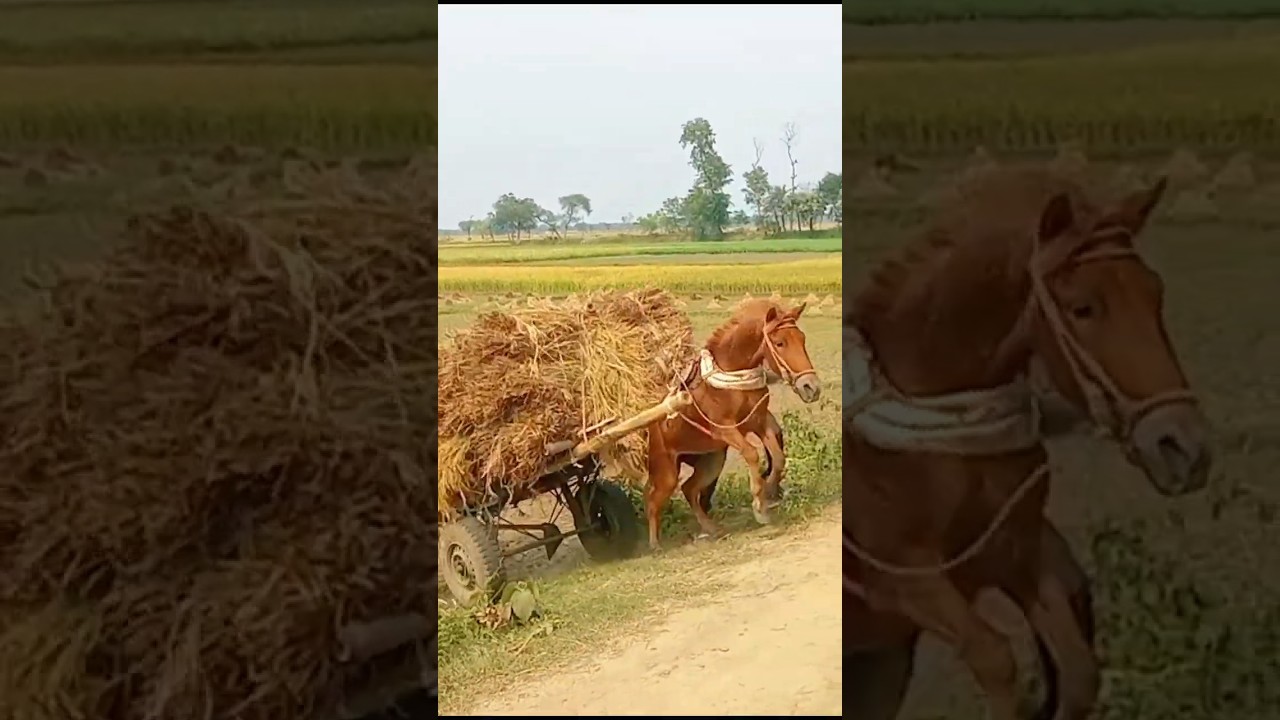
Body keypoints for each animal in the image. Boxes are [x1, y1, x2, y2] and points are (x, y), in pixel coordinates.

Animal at [646, 300, 820, 550]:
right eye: (780, 342)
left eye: (802, 339)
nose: (811, 387)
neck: (732, 374)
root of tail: (652, 427)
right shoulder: (726, 429)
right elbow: (752, 454)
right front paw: (759, 506)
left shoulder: (759, 421)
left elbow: (778, 458)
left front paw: (769, 491)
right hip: (666, 473)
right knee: (652, 501)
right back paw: (655, 544)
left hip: (712, 460)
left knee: (689, 489)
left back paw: (711, 528)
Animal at [843, 164, 1212, 720]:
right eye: (1083, 308)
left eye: (1155, 293)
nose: (1183, 448)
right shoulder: (908, 582)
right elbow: (996, 658)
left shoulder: (1020, 554)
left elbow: (1078, 671)